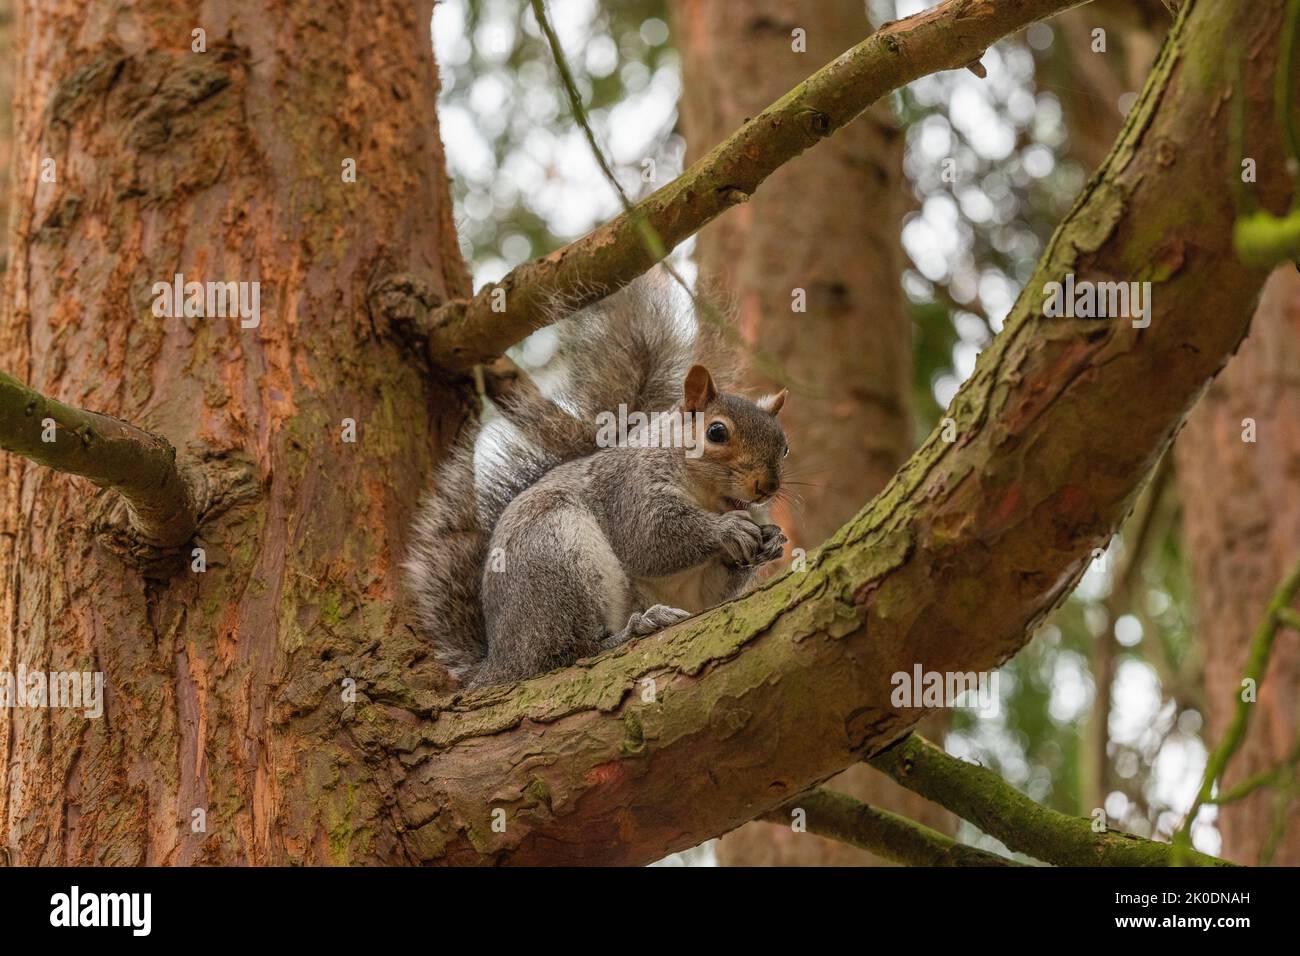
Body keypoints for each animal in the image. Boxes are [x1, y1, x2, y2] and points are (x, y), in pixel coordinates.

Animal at [405, 270, 785, 686]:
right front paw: (726, 530)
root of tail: (500, 662)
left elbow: (712, 594)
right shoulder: (630, 489)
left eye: (784, 447)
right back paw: (633, 629)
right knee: (573, 650)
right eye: (716, 433)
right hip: (555, 558)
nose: (766, 488)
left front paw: (771, 539)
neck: (708, 498)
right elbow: (651, 538)